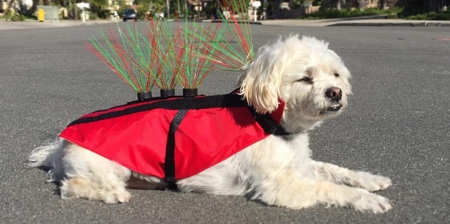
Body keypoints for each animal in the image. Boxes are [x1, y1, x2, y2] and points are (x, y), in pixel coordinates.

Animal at [29, 35, 394, 214]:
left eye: (335, 75)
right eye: (305, 78)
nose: (335, 93)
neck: (269, 120)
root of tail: (63, 143)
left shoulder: (300, 166)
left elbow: (333, 170)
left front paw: (369, 180)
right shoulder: (279, 186)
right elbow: (327, 187)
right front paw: (365, 200)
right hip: (106, 165)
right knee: (71, 187)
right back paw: (112, 194)